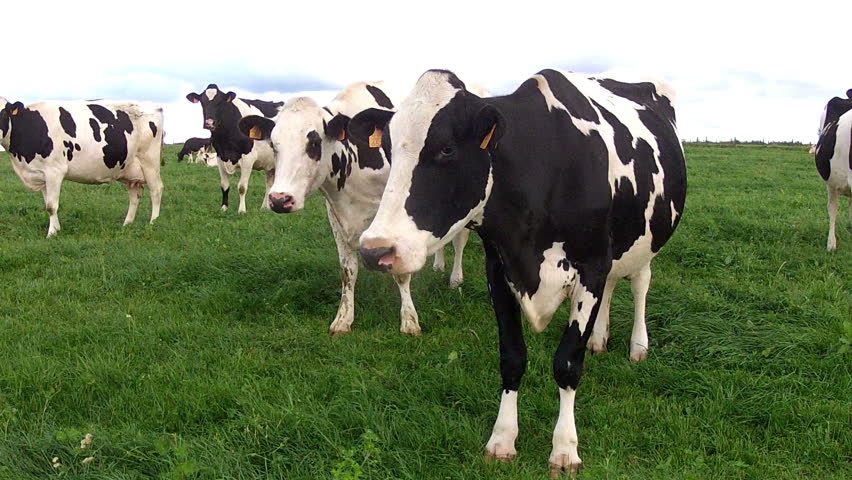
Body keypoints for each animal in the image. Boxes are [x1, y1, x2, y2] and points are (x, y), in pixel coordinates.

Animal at [0, 97, 164, 237]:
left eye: (3, 113)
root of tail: (154, 106)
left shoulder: (55, 171)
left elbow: (51, 205)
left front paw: (51, 234)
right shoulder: (41, 174)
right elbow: (48, 204)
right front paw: (56, 229)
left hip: (149, 161)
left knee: (156, 189)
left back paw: (153, 222)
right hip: (129, 169)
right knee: (135, 194)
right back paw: (127, 223)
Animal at [185, 85, 283, 213]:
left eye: (220, 102)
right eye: (202, 102)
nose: (209, 123)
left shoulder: (248, 159)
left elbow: (242, 187)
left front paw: (241, 210)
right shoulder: (220, 158)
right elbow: (224, 186)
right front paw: (224, 207)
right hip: (270, 163)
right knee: (269, 183)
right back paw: (265, 207)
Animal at [237, 81, 477, 336]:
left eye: (314, 143)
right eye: (274, 145)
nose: (280, 200)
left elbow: (401, 273)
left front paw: (409, 321)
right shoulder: (336, 215)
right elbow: (348, 271)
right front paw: (344, 318)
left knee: (460, 241)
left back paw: (455, 279)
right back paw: (438, 266)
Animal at [352, 69, 687, 475]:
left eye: (447, 149)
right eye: (387, 149)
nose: (375, 250)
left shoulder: (591, 267)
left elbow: (567, 363)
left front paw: (565, 448)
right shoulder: (499, 268)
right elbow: (512, 358)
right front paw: (502, 439)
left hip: (647, 238)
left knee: (640, 284)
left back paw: (638, 346)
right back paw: (599, 339)